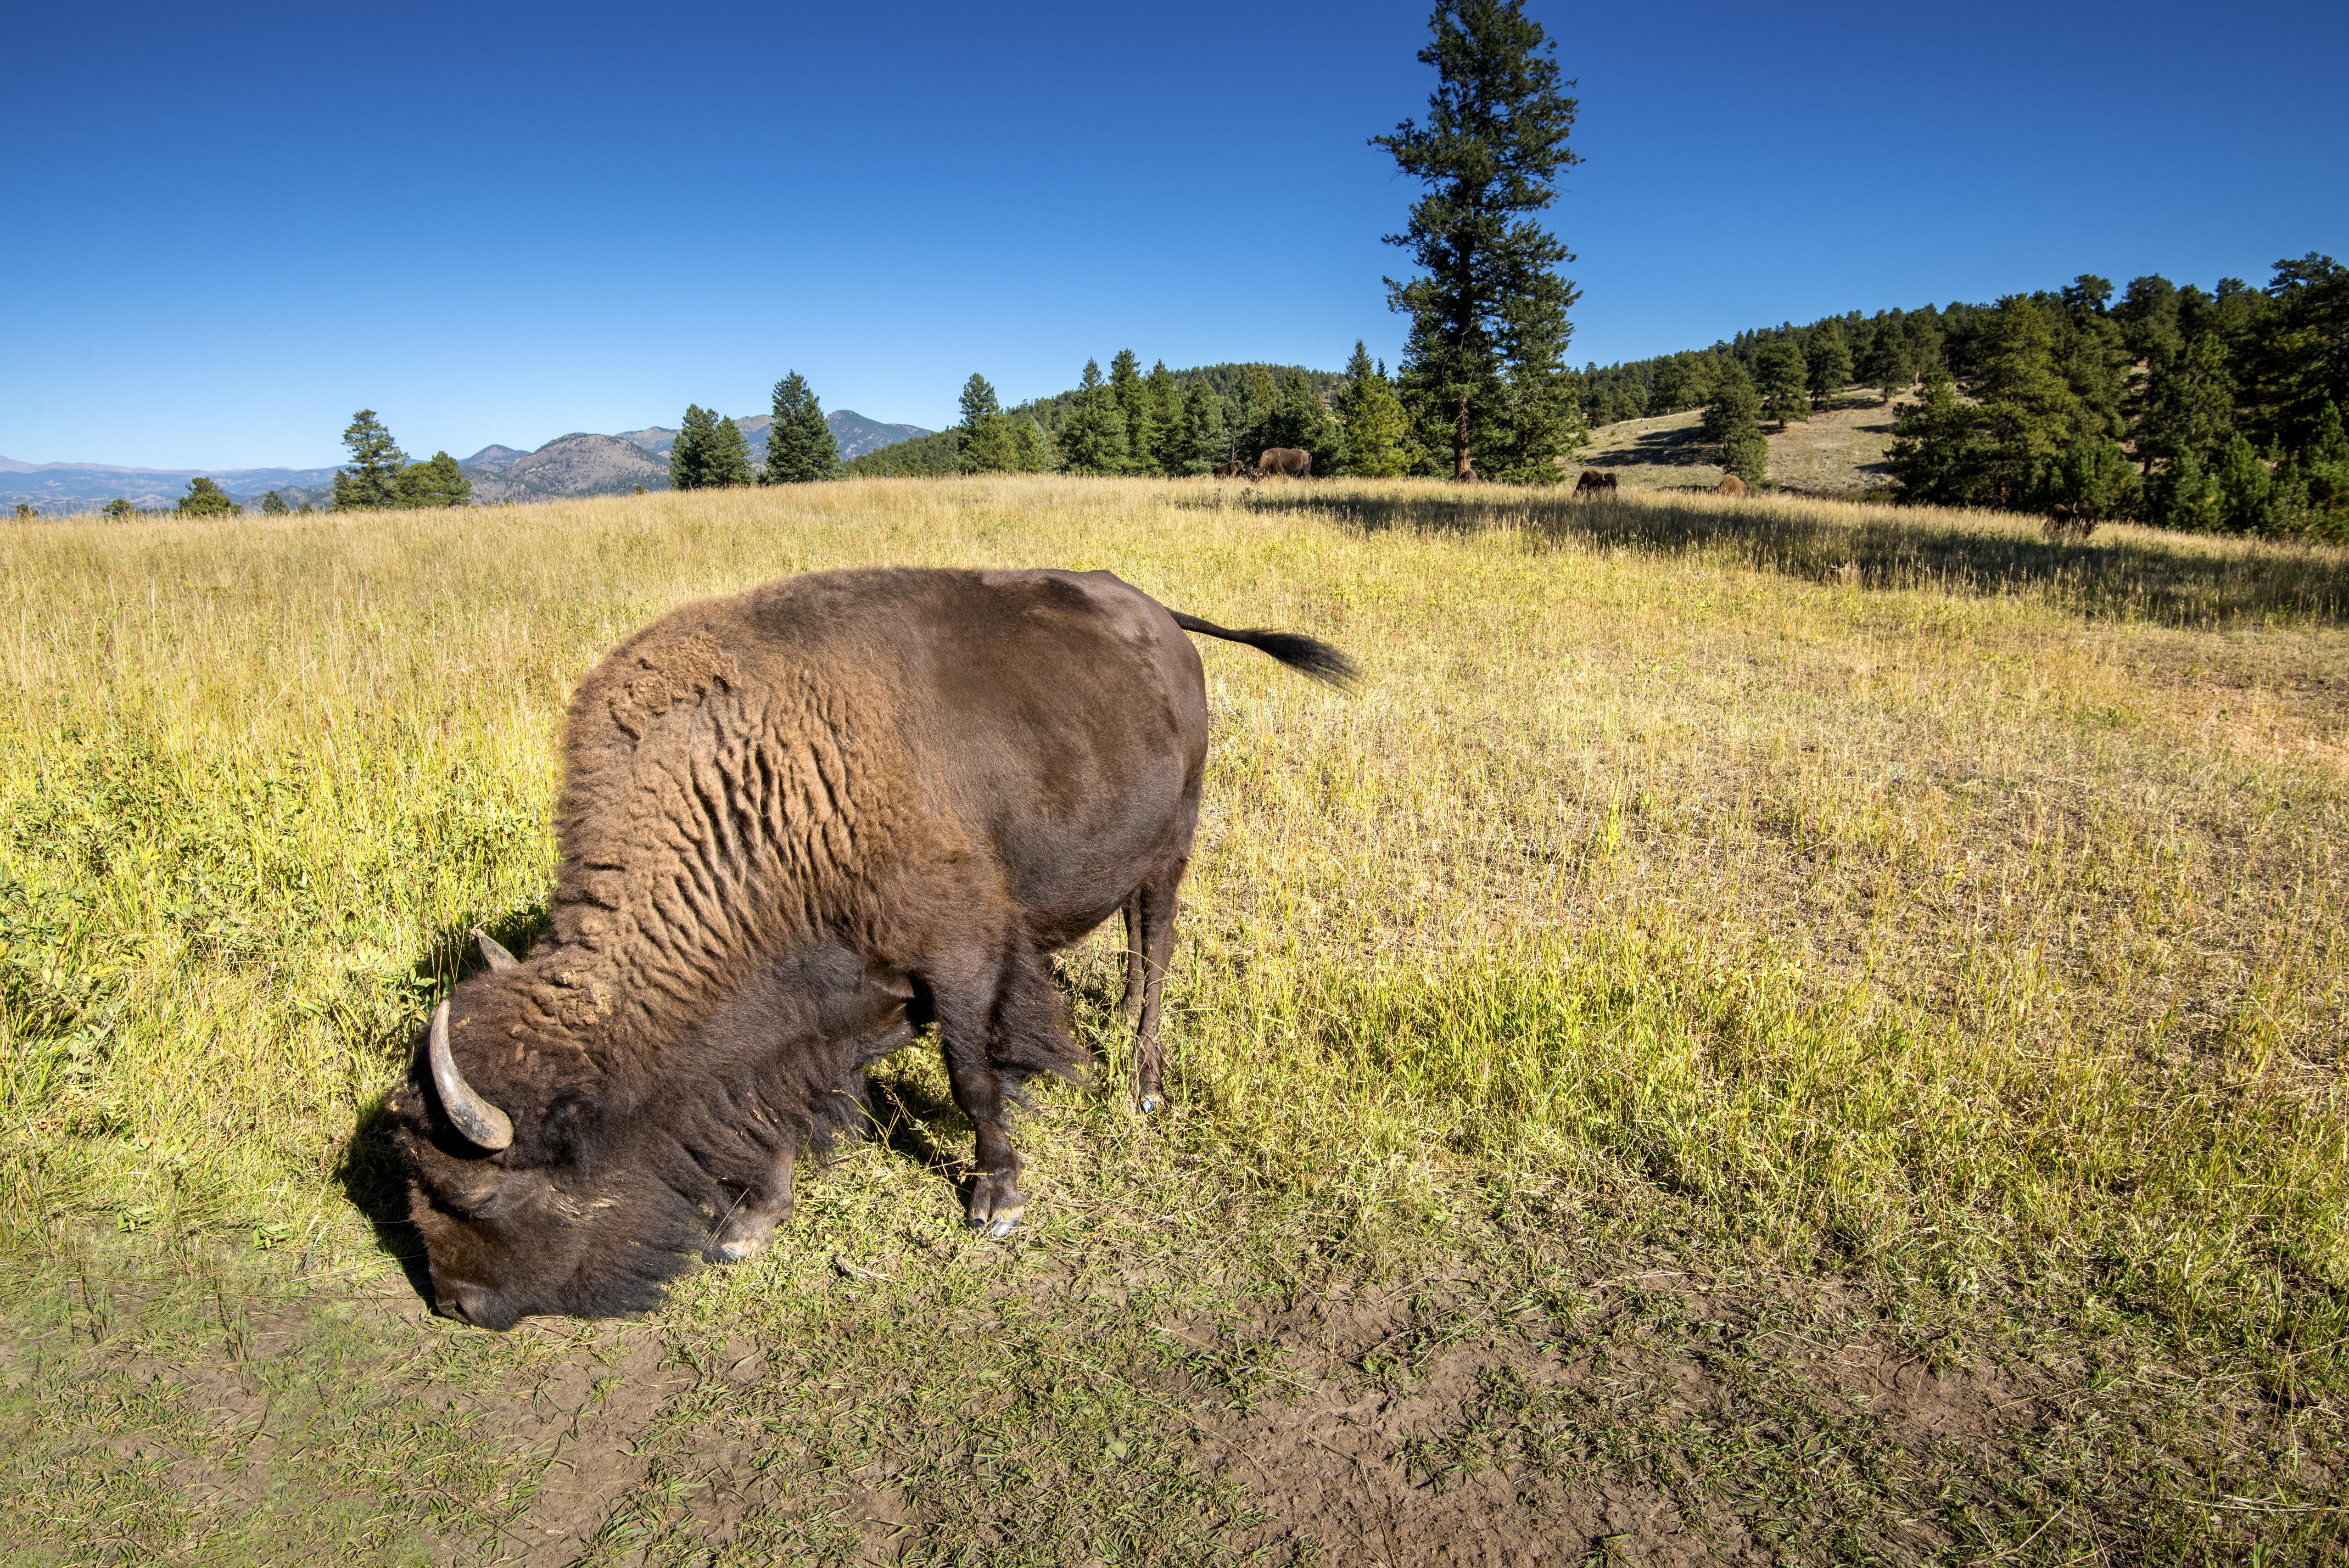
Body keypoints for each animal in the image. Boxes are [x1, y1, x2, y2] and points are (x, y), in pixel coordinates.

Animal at [390, 568, 1355, 1328]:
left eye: (477, 1190)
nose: (454, 1303)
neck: (762, 792)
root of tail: (1155, 616)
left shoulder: (959, 955)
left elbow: (971, 1076)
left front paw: (996, 1200)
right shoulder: (804, 1013)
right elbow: (777, 1104)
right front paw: (749, 1226)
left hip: (1172, 845)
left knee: (1153, 953)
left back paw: (1142, 1087)